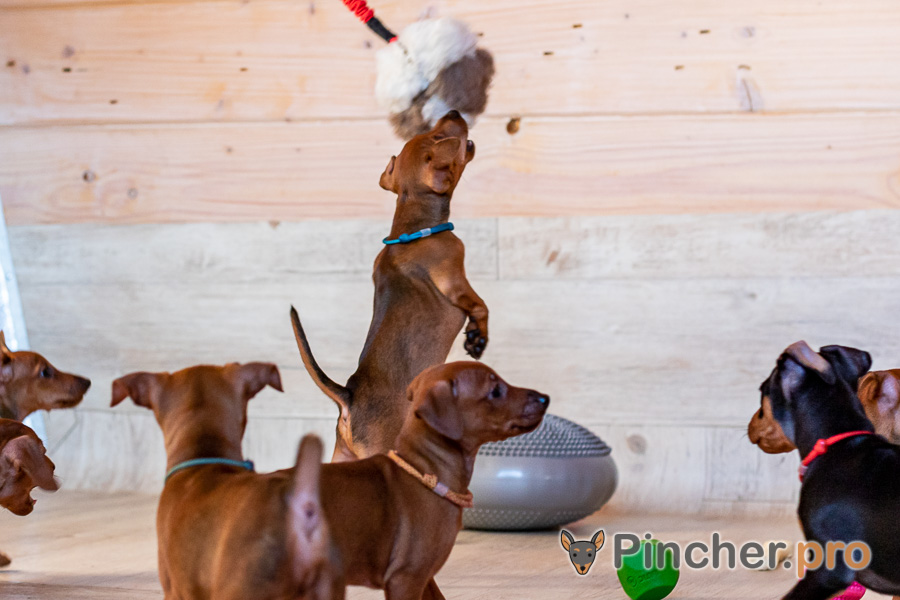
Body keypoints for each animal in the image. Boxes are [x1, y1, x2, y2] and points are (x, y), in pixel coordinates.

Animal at [291, 110, 488, 462]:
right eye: (438, 137)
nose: (453, 112)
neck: (412, 230)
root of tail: (349, 400)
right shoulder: (454, 277)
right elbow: (479, 306)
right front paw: (479, 338)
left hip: (342, 458)